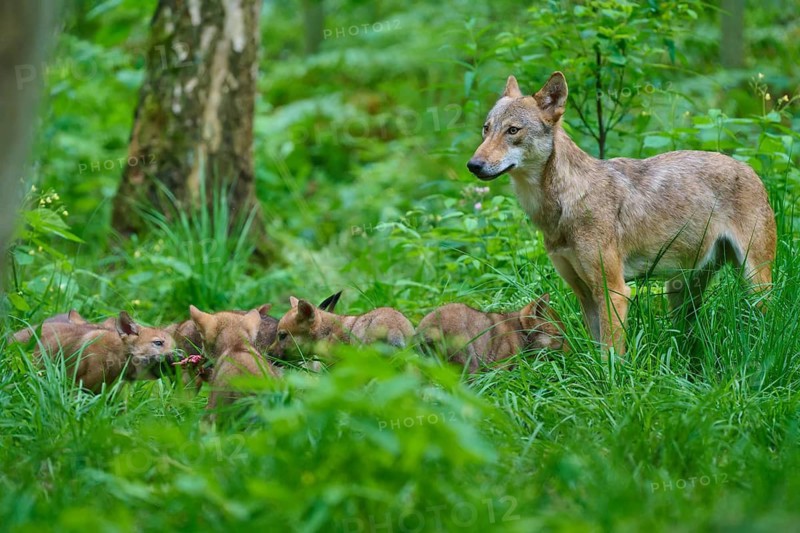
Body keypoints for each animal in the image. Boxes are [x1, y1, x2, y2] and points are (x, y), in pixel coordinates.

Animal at [468, 72, 776, 354]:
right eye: (486, 129)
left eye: (513, 130)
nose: (473, 165)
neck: (563, 205)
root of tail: (748, 168)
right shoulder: (584, 293)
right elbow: (595, 350)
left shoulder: (613, 291)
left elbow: (610, 355)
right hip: (680, 291)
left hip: (754, 280)